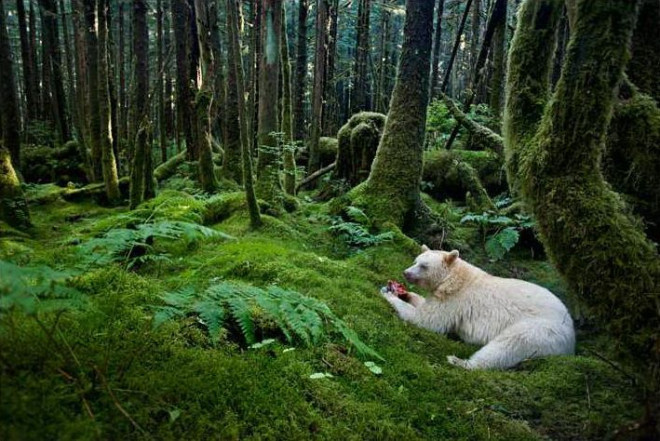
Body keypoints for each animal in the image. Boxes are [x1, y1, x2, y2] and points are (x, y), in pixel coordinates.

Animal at [378, 244, 576, 368]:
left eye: (424, 265)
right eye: (415, 260)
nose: (406, 273)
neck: (454, 278)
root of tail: (572, 339)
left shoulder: (456, 300)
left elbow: (429, 320)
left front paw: (389, 295)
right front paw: (401, 292)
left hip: (541, 330)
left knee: (509, 345)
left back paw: (460, 362)